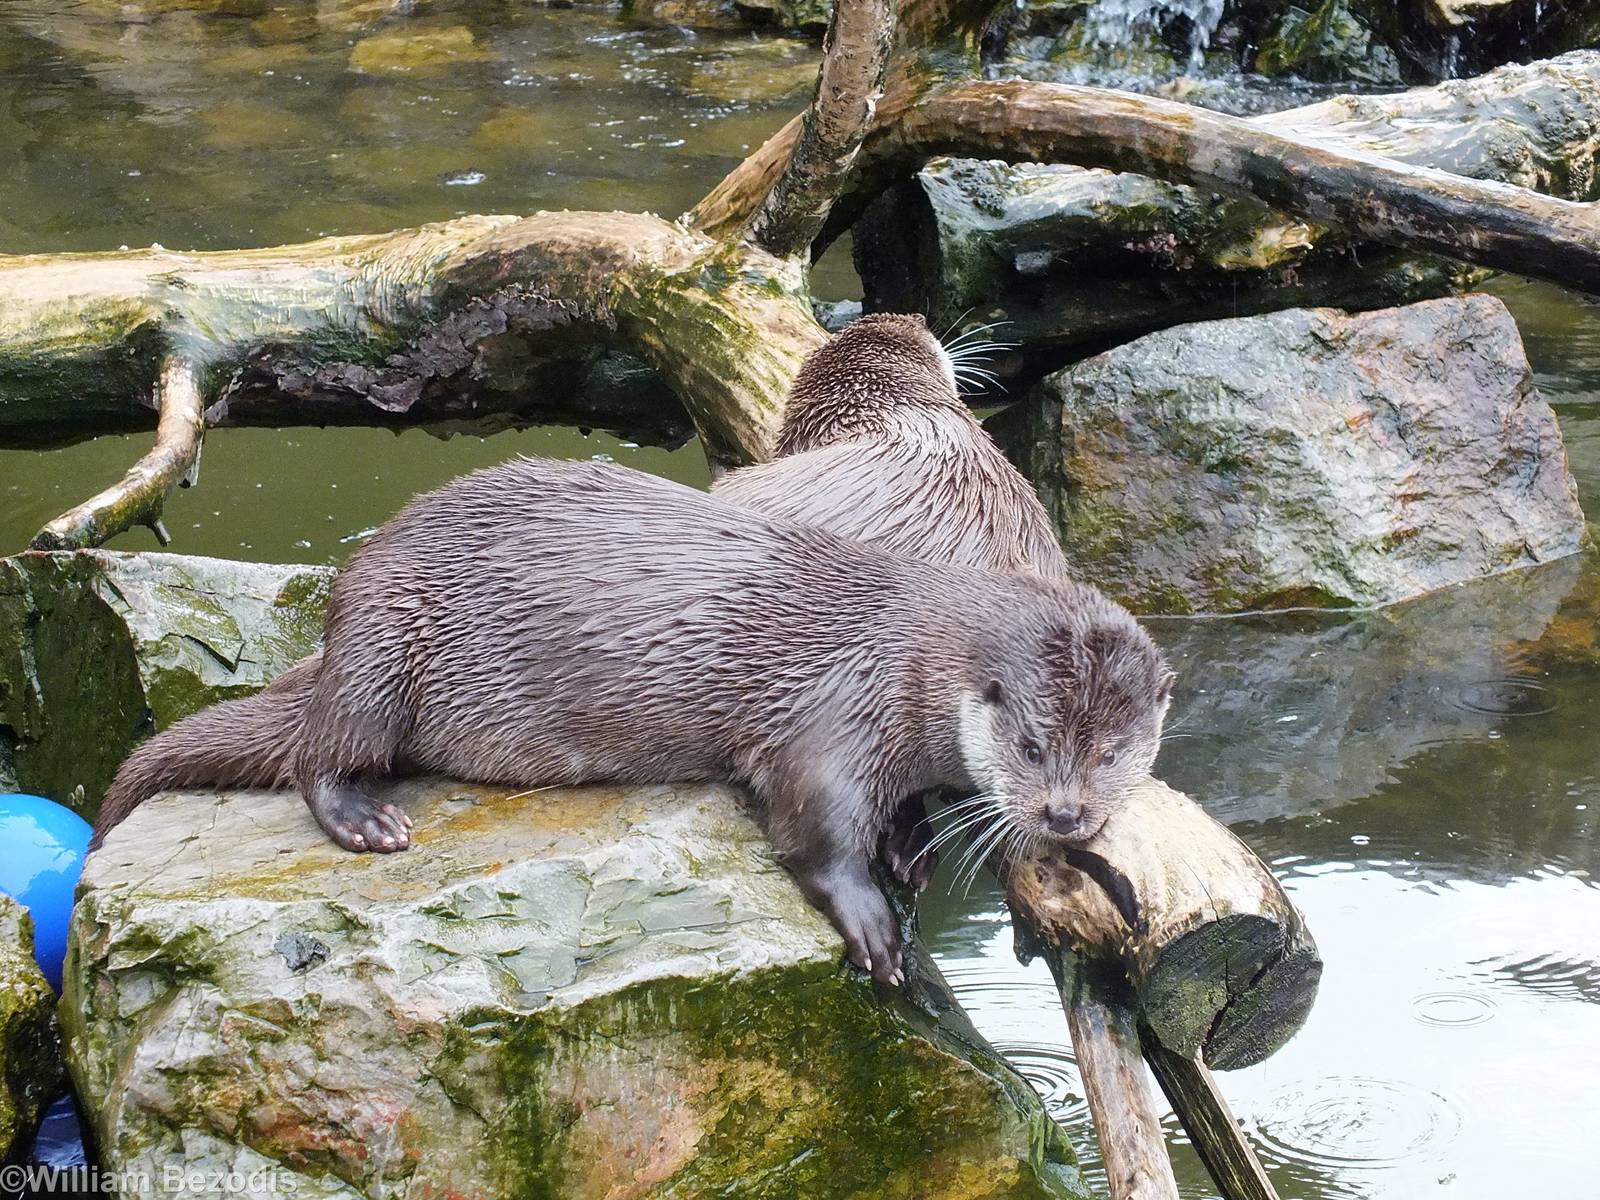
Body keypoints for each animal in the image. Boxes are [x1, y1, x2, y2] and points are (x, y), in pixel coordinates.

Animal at [95, 458, 1171, 985]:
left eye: (1114, 752)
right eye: (1031, 745)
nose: (1067, 816)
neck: (908, 660)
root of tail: (343, 599)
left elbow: (898, 810)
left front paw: (912, 846)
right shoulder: (833, 715)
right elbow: (812, 830)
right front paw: (872, 921)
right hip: (384, 642)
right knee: (320, 752)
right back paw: (364, 819)